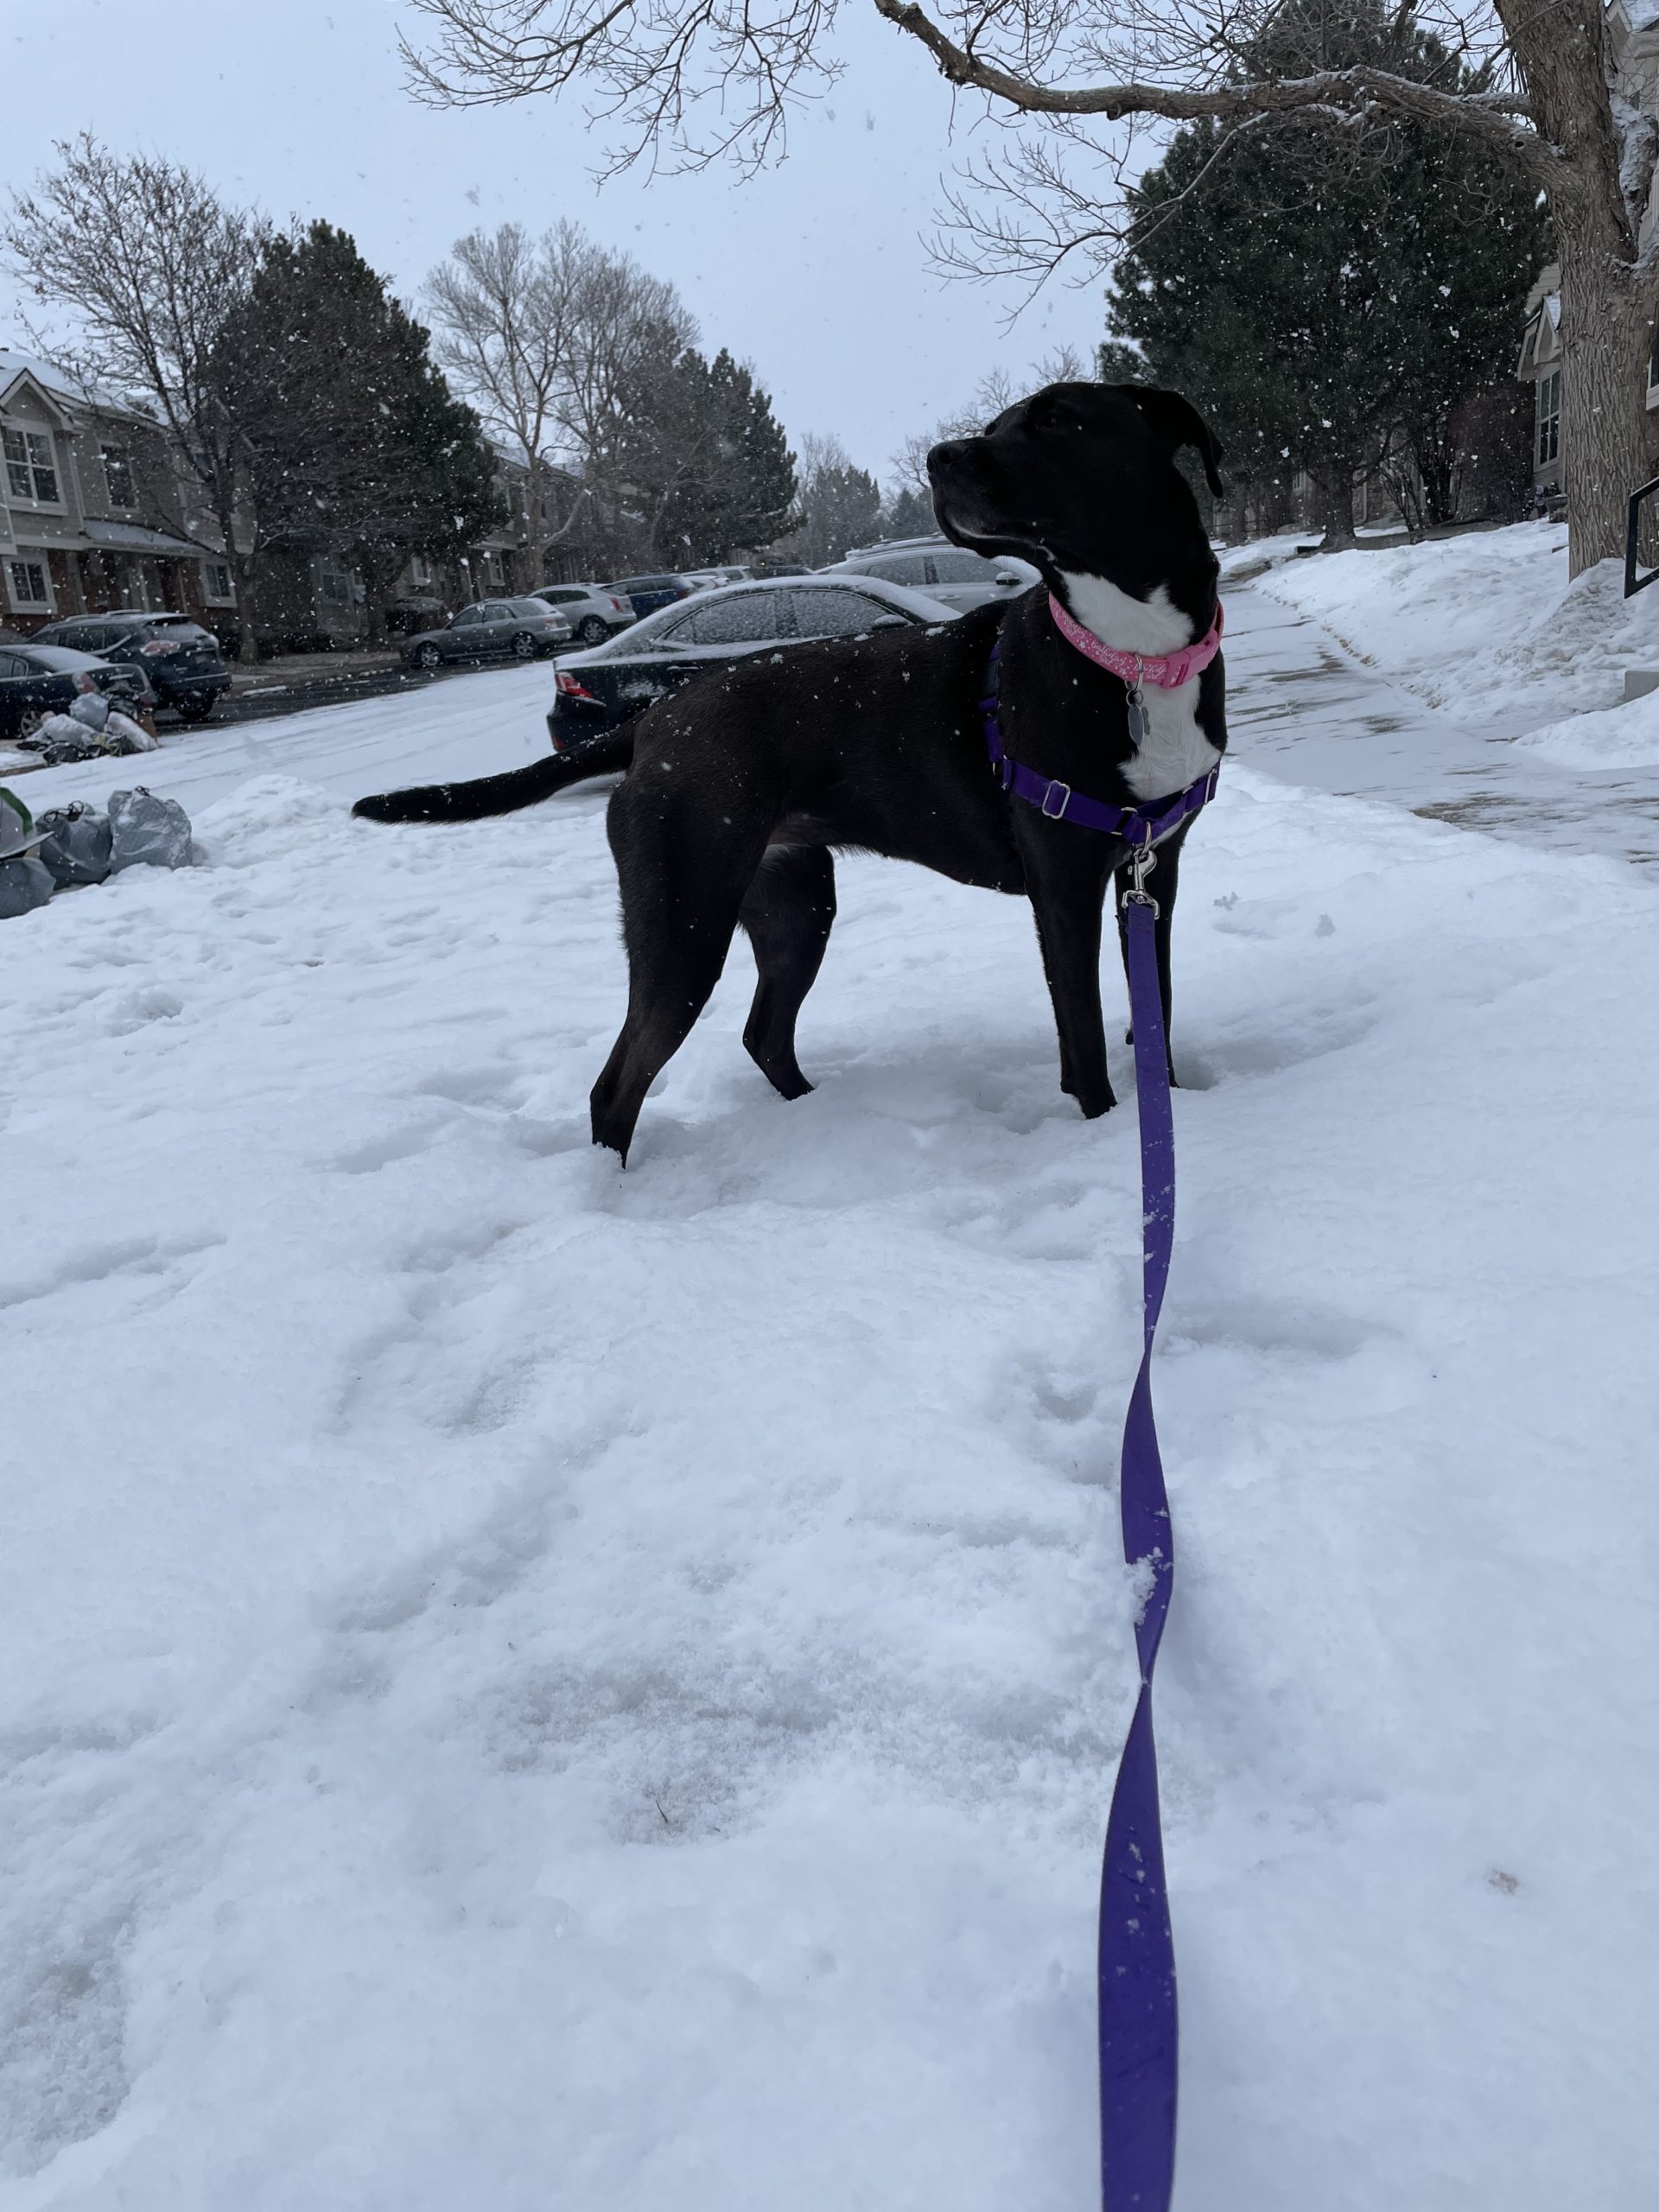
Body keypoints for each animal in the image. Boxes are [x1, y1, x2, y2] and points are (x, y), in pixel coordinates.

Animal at [353, 382, 1238, 1167]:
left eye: (1057, 419)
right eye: (997, 424)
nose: (939, 458)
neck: (1132, 656)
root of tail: (655, 721)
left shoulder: (1153, 870)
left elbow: (1152, 1010)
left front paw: (1172, 1102)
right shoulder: (1064, 890)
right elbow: (1084, 1040)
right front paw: (1111, 1134)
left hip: (793, 907)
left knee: (762, 1035)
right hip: (686, 922)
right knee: (619, 1083)